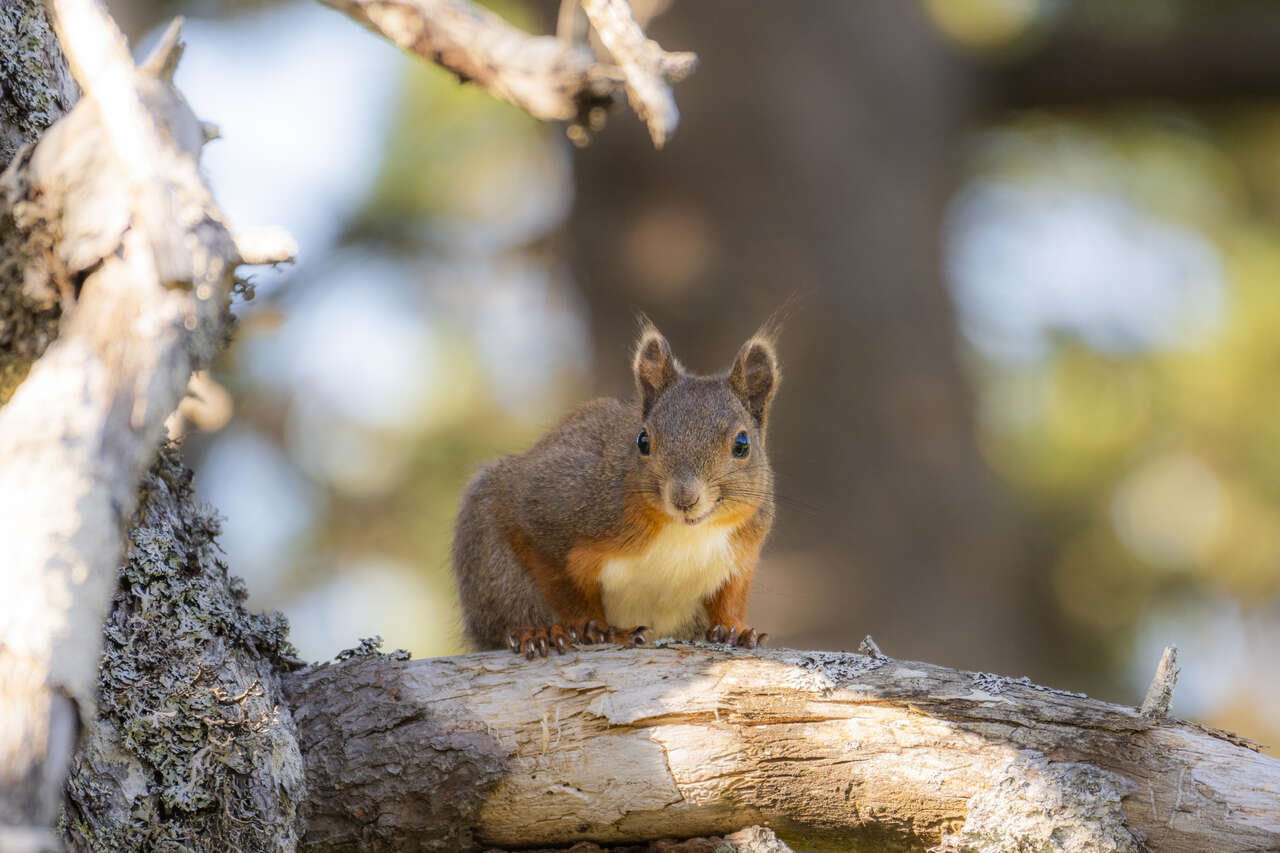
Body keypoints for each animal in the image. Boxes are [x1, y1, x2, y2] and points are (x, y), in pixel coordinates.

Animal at [451, 321, 780, 658]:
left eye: (742, 445)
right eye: (642, 440)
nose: (684, 498)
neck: (684, 531)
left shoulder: (743, 553)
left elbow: (730, 598)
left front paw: (735, 629)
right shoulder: (549, 509)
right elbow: (562, 583)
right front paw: (594, 628)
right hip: (492, 565)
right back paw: (537, 631)